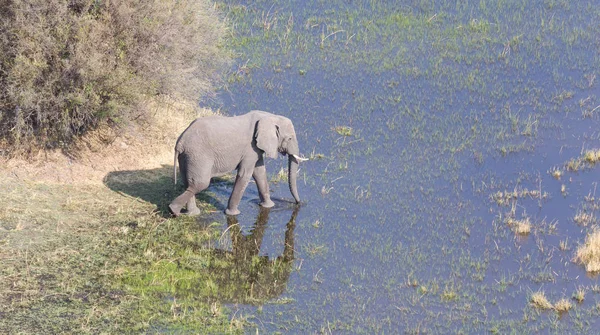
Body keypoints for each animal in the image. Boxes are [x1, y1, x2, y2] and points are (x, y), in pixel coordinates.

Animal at [170, 109, 308, 215]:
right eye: (289, 138)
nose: (298, 203)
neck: (269, 116)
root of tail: (180, 142)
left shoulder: (256, 148)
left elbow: (259, 172)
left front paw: (269, 206)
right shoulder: (250, 148)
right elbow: (245, 174)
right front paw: (233, 213)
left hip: (187, 156)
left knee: (188, 182)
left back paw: (191, 213)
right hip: (198, 155)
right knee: (201, 184)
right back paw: (173, 210)